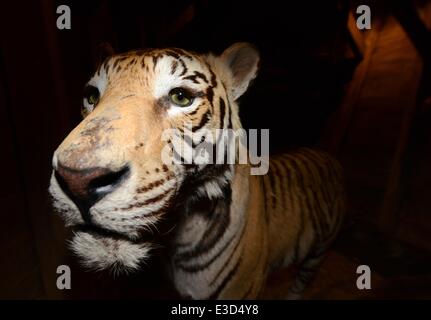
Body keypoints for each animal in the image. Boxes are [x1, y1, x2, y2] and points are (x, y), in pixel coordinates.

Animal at [49, 42, 346, 300]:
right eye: (91, 97)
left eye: (181, 97)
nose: (77, 181)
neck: (178, 239)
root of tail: (326, 155)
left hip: (319, 252)